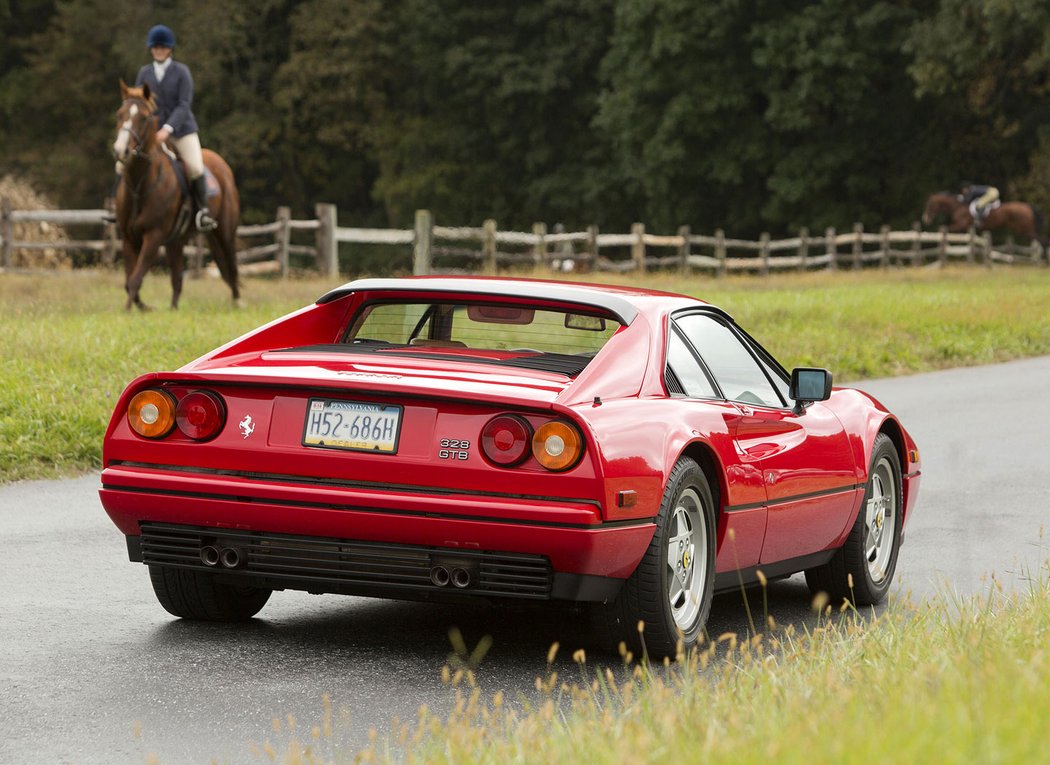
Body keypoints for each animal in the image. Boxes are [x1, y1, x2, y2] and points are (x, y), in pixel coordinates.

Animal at [111, 80, 240, 310]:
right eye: (120, 114)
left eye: (143, 118)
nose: (120, 151)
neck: (139, 185)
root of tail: (222, 164)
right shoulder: (128, 237)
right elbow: (130, 280)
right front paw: (143, 308)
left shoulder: (153, 236)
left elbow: (135, 278)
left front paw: (128, 311)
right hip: (176, 241)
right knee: (177, 278)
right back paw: (173, 309)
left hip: (225, 231)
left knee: (231, 265)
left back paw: (237, 302)